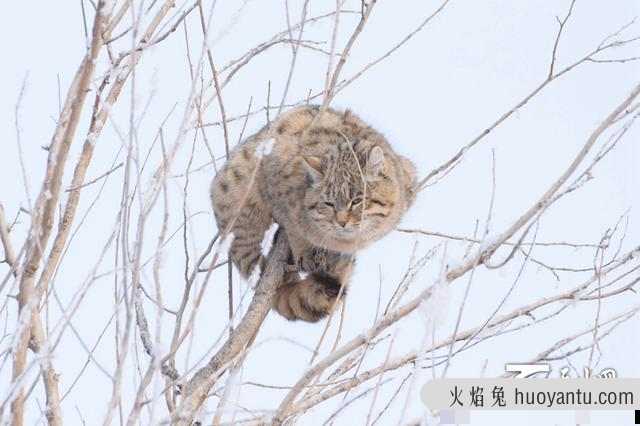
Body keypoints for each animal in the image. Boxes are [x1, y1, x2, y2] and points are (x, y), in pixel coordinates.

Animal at [212, 106, 418, 322]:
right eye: (329, 203)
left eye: (356, 200)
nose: (341, 222)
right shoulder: (273, 181)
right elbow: (293, 226)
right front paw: (303, 250)